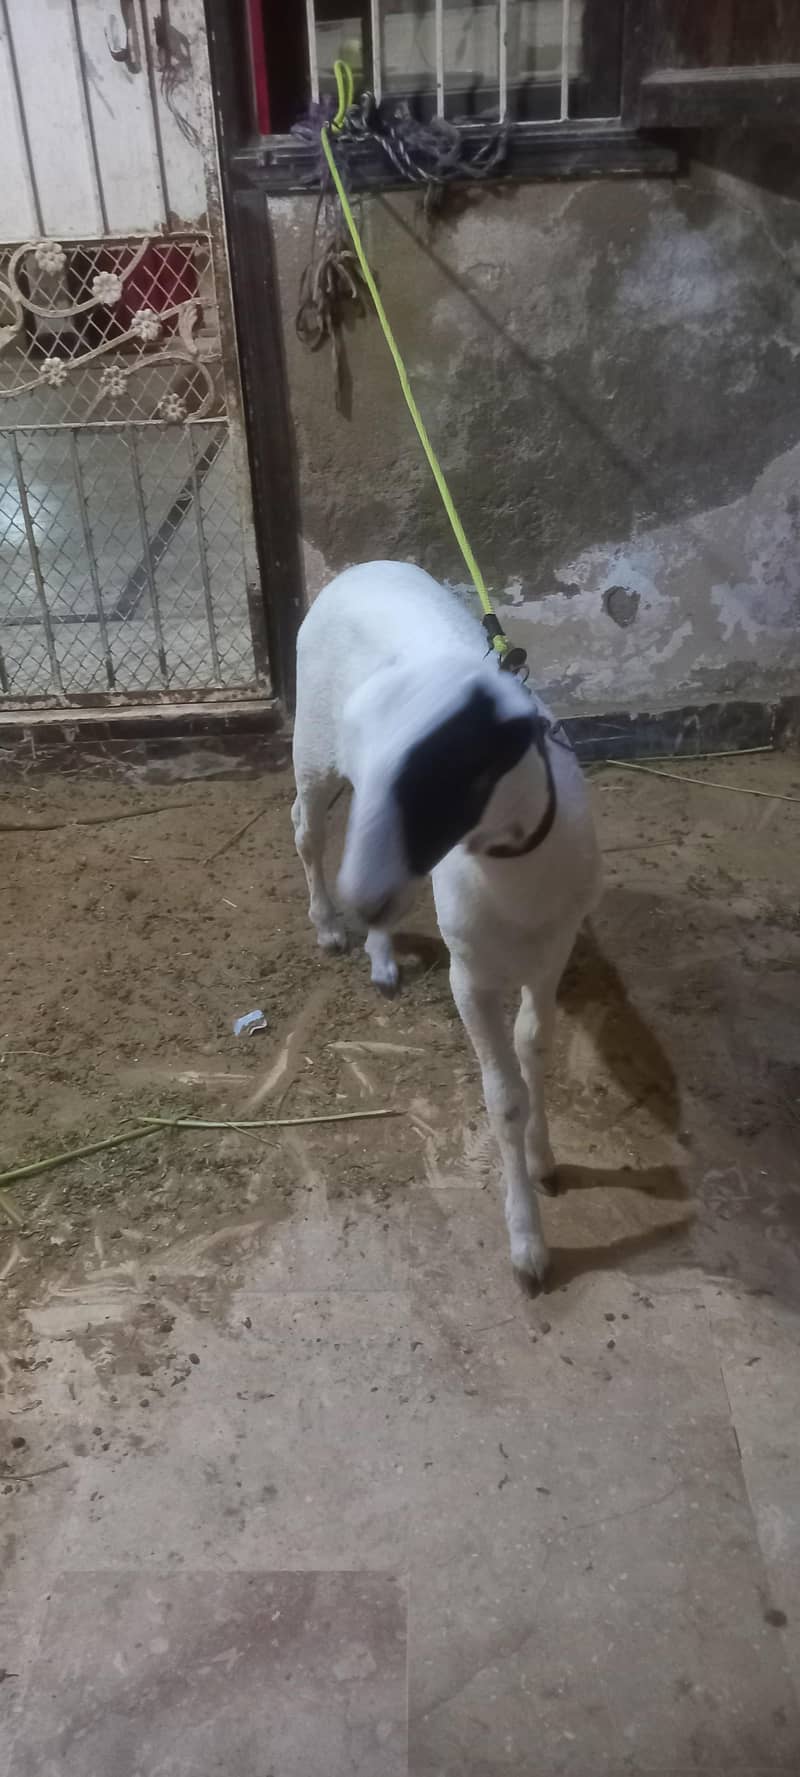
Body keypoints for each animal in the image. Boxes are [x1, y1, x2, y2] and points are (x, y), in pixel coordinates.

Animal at [291, 562, 601, 1282]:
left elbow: (533, 1045)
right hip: (312, 743)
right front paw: (527, 1244)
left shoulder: (552, 955)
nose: (361, 899)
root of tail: (363, 567)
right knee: (307, 828)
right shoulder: (470, 977)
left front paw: (546, 1161)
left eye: (453, 771)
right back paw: (330, 924)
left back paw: (378, 950)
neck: (515, 887)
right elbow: (503, 1098)